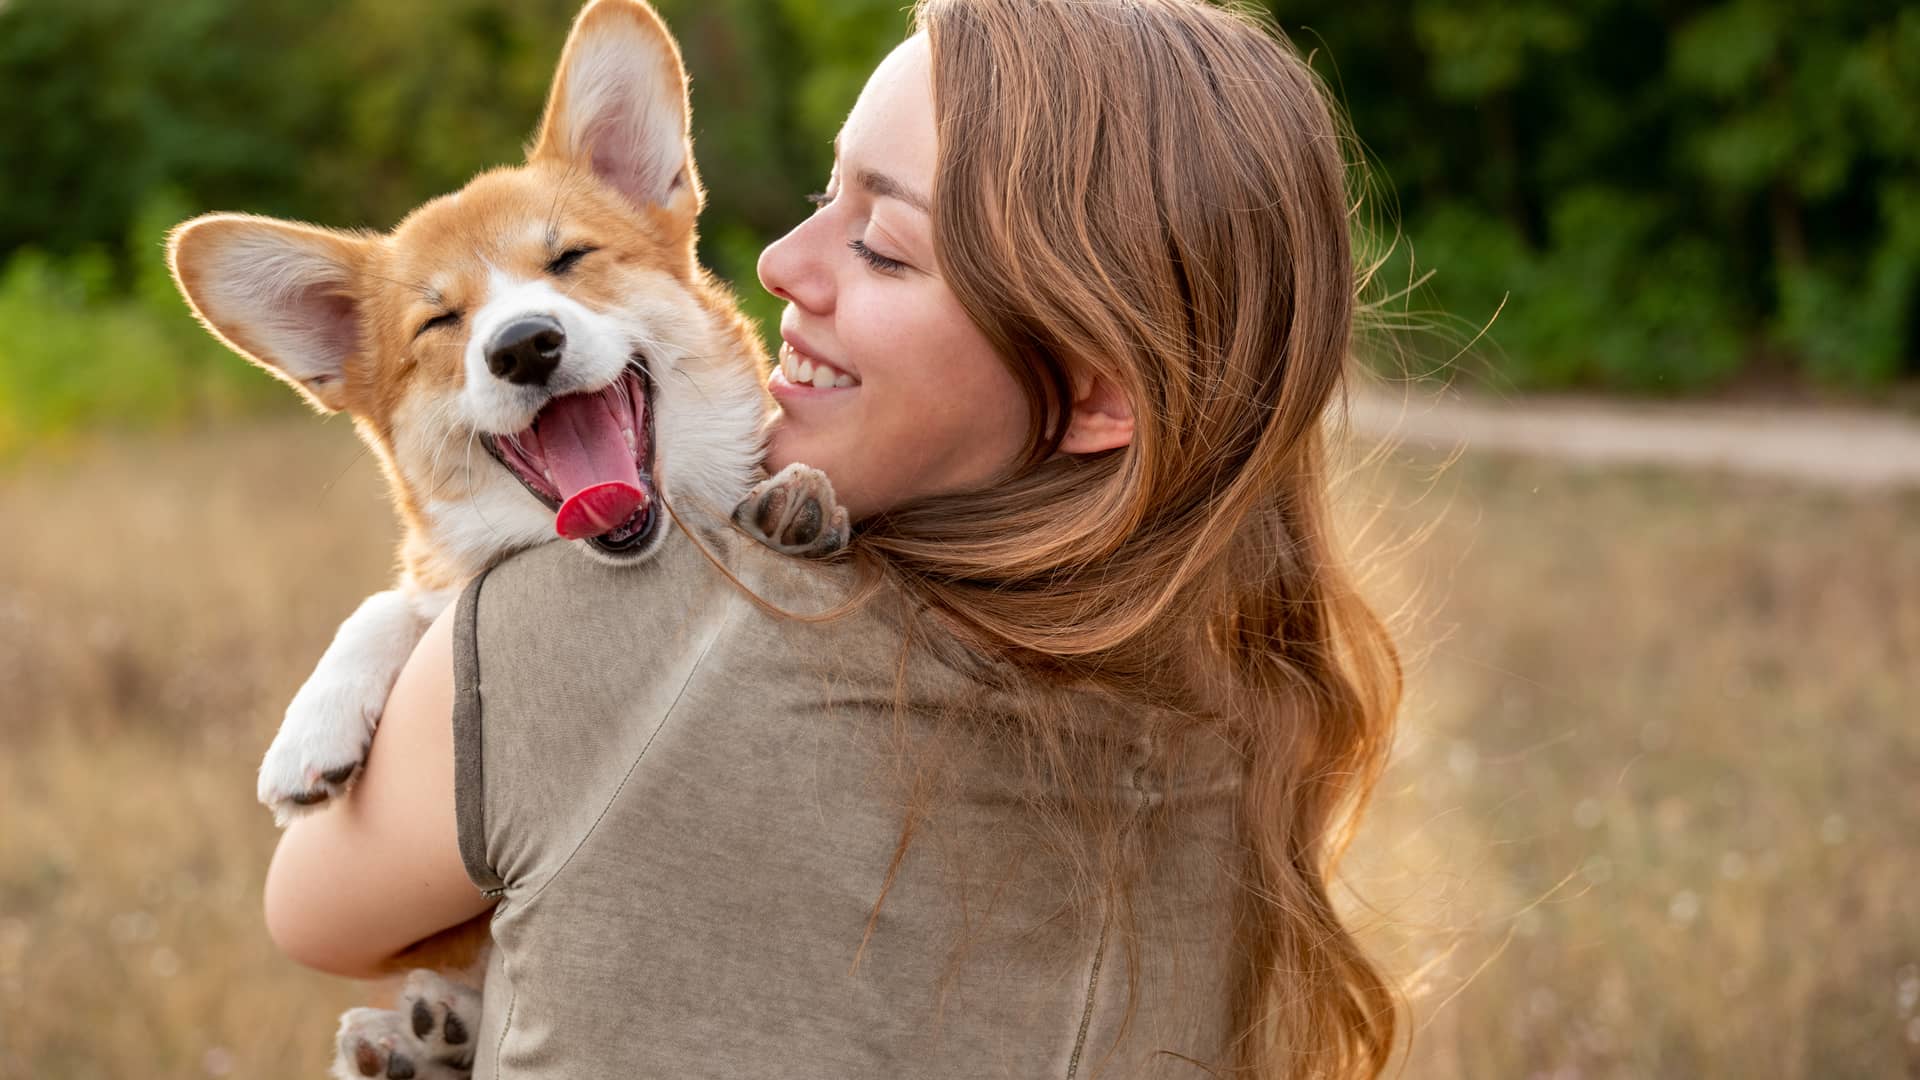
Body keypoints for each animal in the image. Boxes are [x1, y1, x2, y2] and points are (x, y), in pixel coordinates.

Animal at [168, 0, 844, 834]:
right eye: (439, 321)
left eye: (569, 259)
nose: (523, 346)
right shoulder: (436, 579)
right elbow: (390, 602)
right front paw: (312, 727)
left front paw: (795, 504)